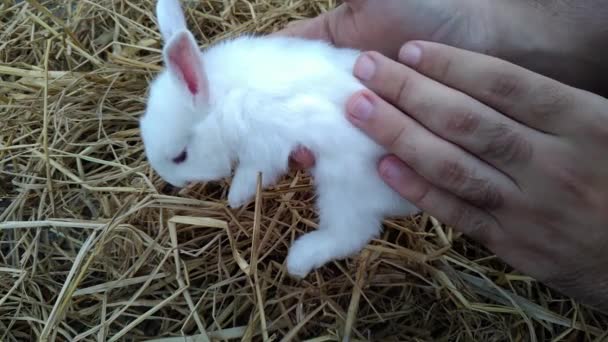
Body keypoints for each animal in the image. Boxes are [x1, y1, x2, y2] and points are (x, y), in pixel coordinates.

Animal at [140, 0, 420, 278]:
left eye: (180, 156)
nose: (170, 181)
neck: (223, 102)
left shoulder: (263, 147)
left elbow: (252, 174)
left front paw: (235, 198)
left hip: (344, 187)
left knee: (351, 233)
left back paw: (299, 259)